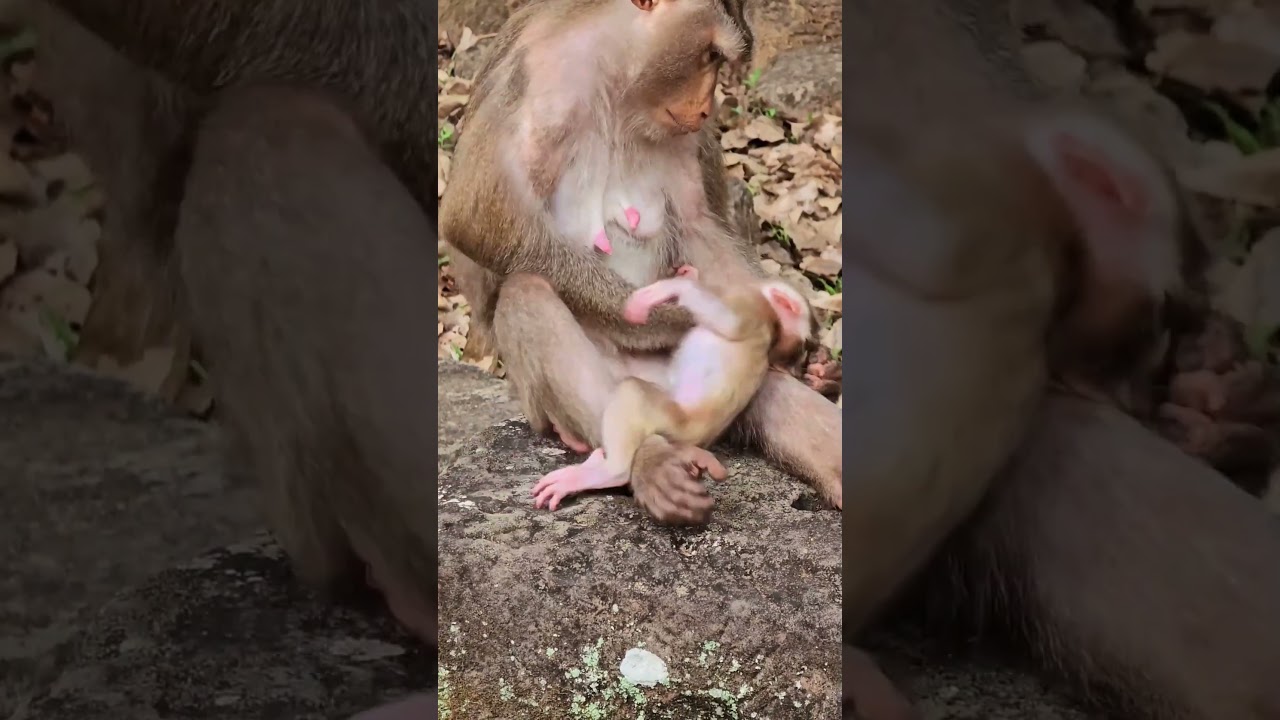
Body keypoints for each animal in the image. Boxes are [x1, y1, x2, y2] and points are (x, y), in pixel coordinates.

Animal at [531, 267, 813, 511]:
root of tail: (698, 439)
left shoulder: (754, 307)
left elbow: (730, 323)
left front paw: (672, 288)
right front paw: (689, 275)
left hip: (676, 420)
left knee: (633, 393)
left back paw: (606, 472)